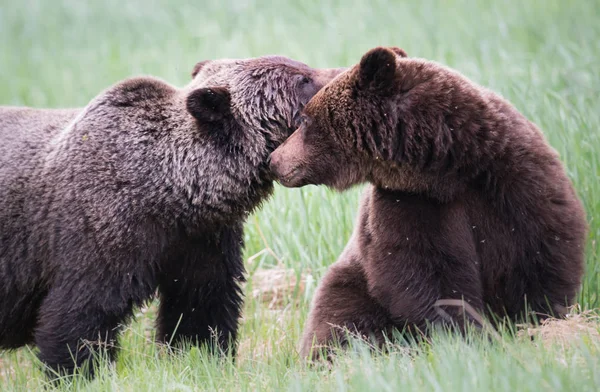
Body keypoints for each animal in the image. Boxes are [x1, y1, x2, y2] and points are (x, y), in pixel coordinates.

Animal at [0, 55, 344, 376]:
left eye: (302, 66)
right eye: (302, 79)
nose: (341, 71)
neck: (170, 196)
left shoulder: (201, 241)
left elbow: (201, 307)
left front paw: (202, 358)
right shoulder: (98, 234)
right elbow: (80, 315)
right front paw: (76, 371)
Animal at [270, 46, 588, 358]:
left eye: (305, 120)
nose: (274, 160)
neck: (450, 166)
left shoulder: (516, 182)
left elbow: (540, 256)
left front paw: (537, 326)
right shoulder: (409, 204)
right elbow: (427, 274)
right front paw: (468, 337)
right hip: (353, 283)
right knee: (342, 318)